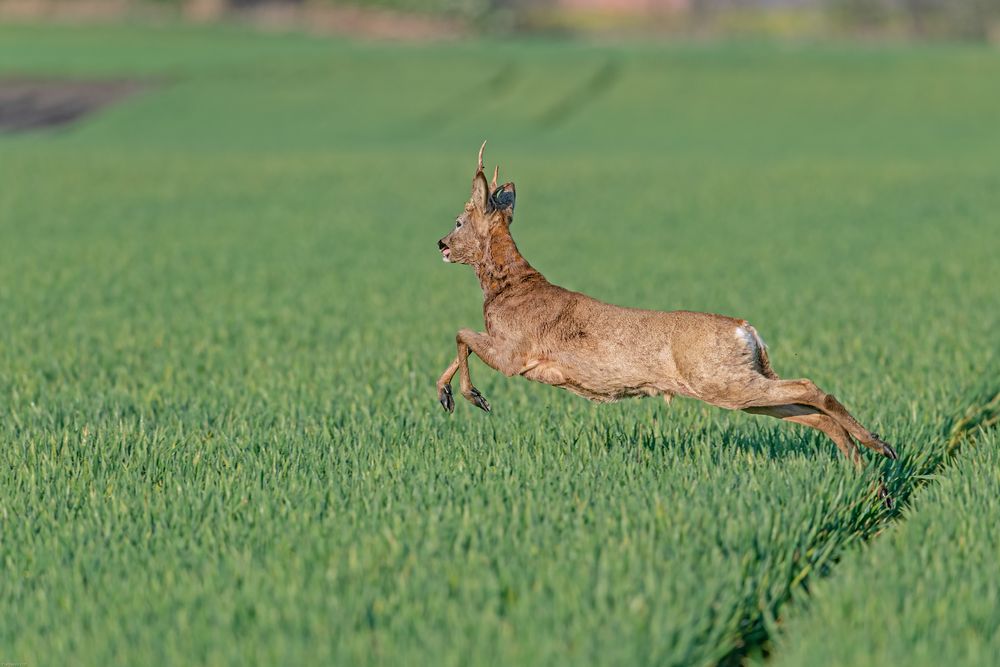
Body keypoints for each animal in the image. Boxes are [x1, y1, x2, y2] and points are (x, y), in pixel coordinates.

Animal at [438, 141, 900, 468]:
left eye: (458, 222)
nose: (440, 243)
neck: (508, 287)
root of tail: (747, 330)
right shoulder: (512, 354)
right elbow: (460, 338)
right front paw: (448, 396)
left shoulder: (514, 354)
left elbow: (460, 334)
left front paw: (468, 397)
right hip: (737, 383)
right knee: (807, 411)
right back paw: (865, 469)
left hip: (719, 379)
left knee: (810, 389)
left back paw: (880, 448)